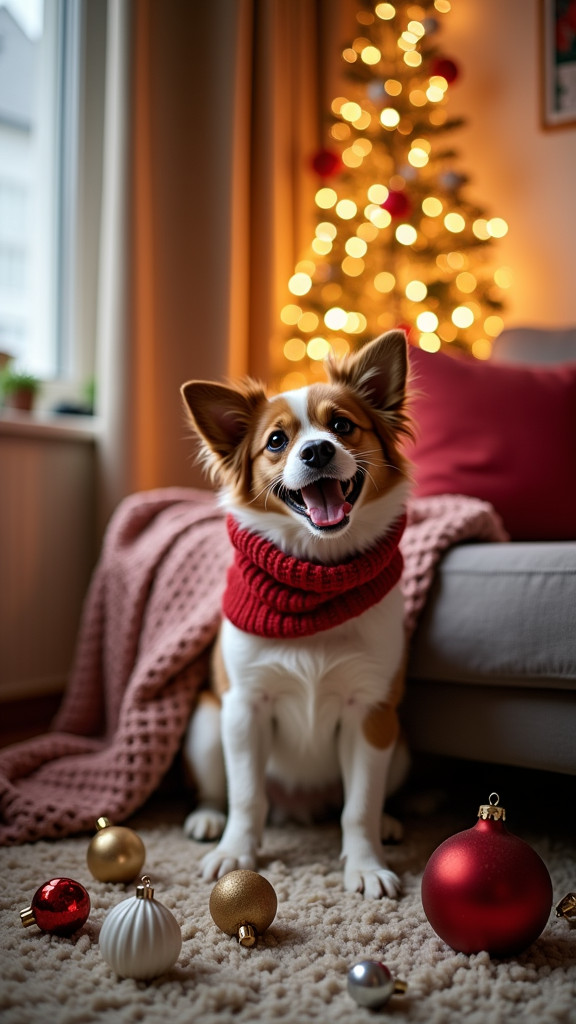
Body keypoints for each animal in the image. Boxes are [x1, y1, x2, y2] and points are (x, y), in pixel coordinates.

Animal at [181, 329, 409, 897]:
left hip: (399, 747)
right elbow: (246, 798)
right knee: (224, 793)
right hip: (206, 727)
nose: (318, 449)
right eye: (276, 442)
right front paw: (235, 856)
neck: (314, 583)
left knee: (358, 800)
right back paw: (208, 819)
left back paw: (390, 822)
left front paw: (365, 864)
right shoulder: (244, 708)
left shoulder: (371, 712)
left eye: (342, 426)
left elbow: (359, 806)